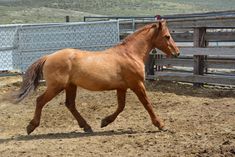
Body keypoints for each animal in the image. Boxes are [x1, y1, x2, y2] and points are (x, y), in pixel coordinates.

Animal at [9, 19, 178, 135]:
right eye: (167, 36)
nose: (177, 52)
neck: (130, 54)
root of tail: (48, 56)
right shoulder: (137, 85)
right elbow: (147, 104)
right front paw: (161, 125)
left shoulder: (122, 87)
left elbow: (121, 106)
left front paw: (105, 122)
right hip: (56, 87)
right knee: (40, 101)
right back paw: (31, 127)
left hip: (70, 86)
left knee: (70, 104)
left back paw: (87, 127)